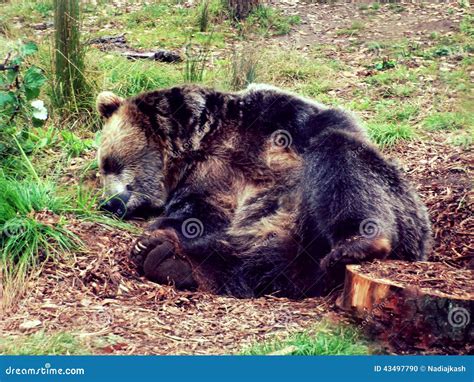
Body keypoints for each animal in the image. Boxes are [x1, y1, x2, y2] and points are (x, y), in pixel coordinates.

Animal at [94, 83, 432, 298]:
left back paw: (358, 243)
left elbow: (330, 128)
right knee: (253, 260)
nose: (107, 203)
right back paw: (166, 256)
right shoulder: (205, 180)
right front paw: (157, 235)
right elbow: (197, 213)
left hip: (395, 209)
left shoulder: (275, 117)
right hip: (279, 240)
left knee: (341, 159)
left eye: (108, 162)